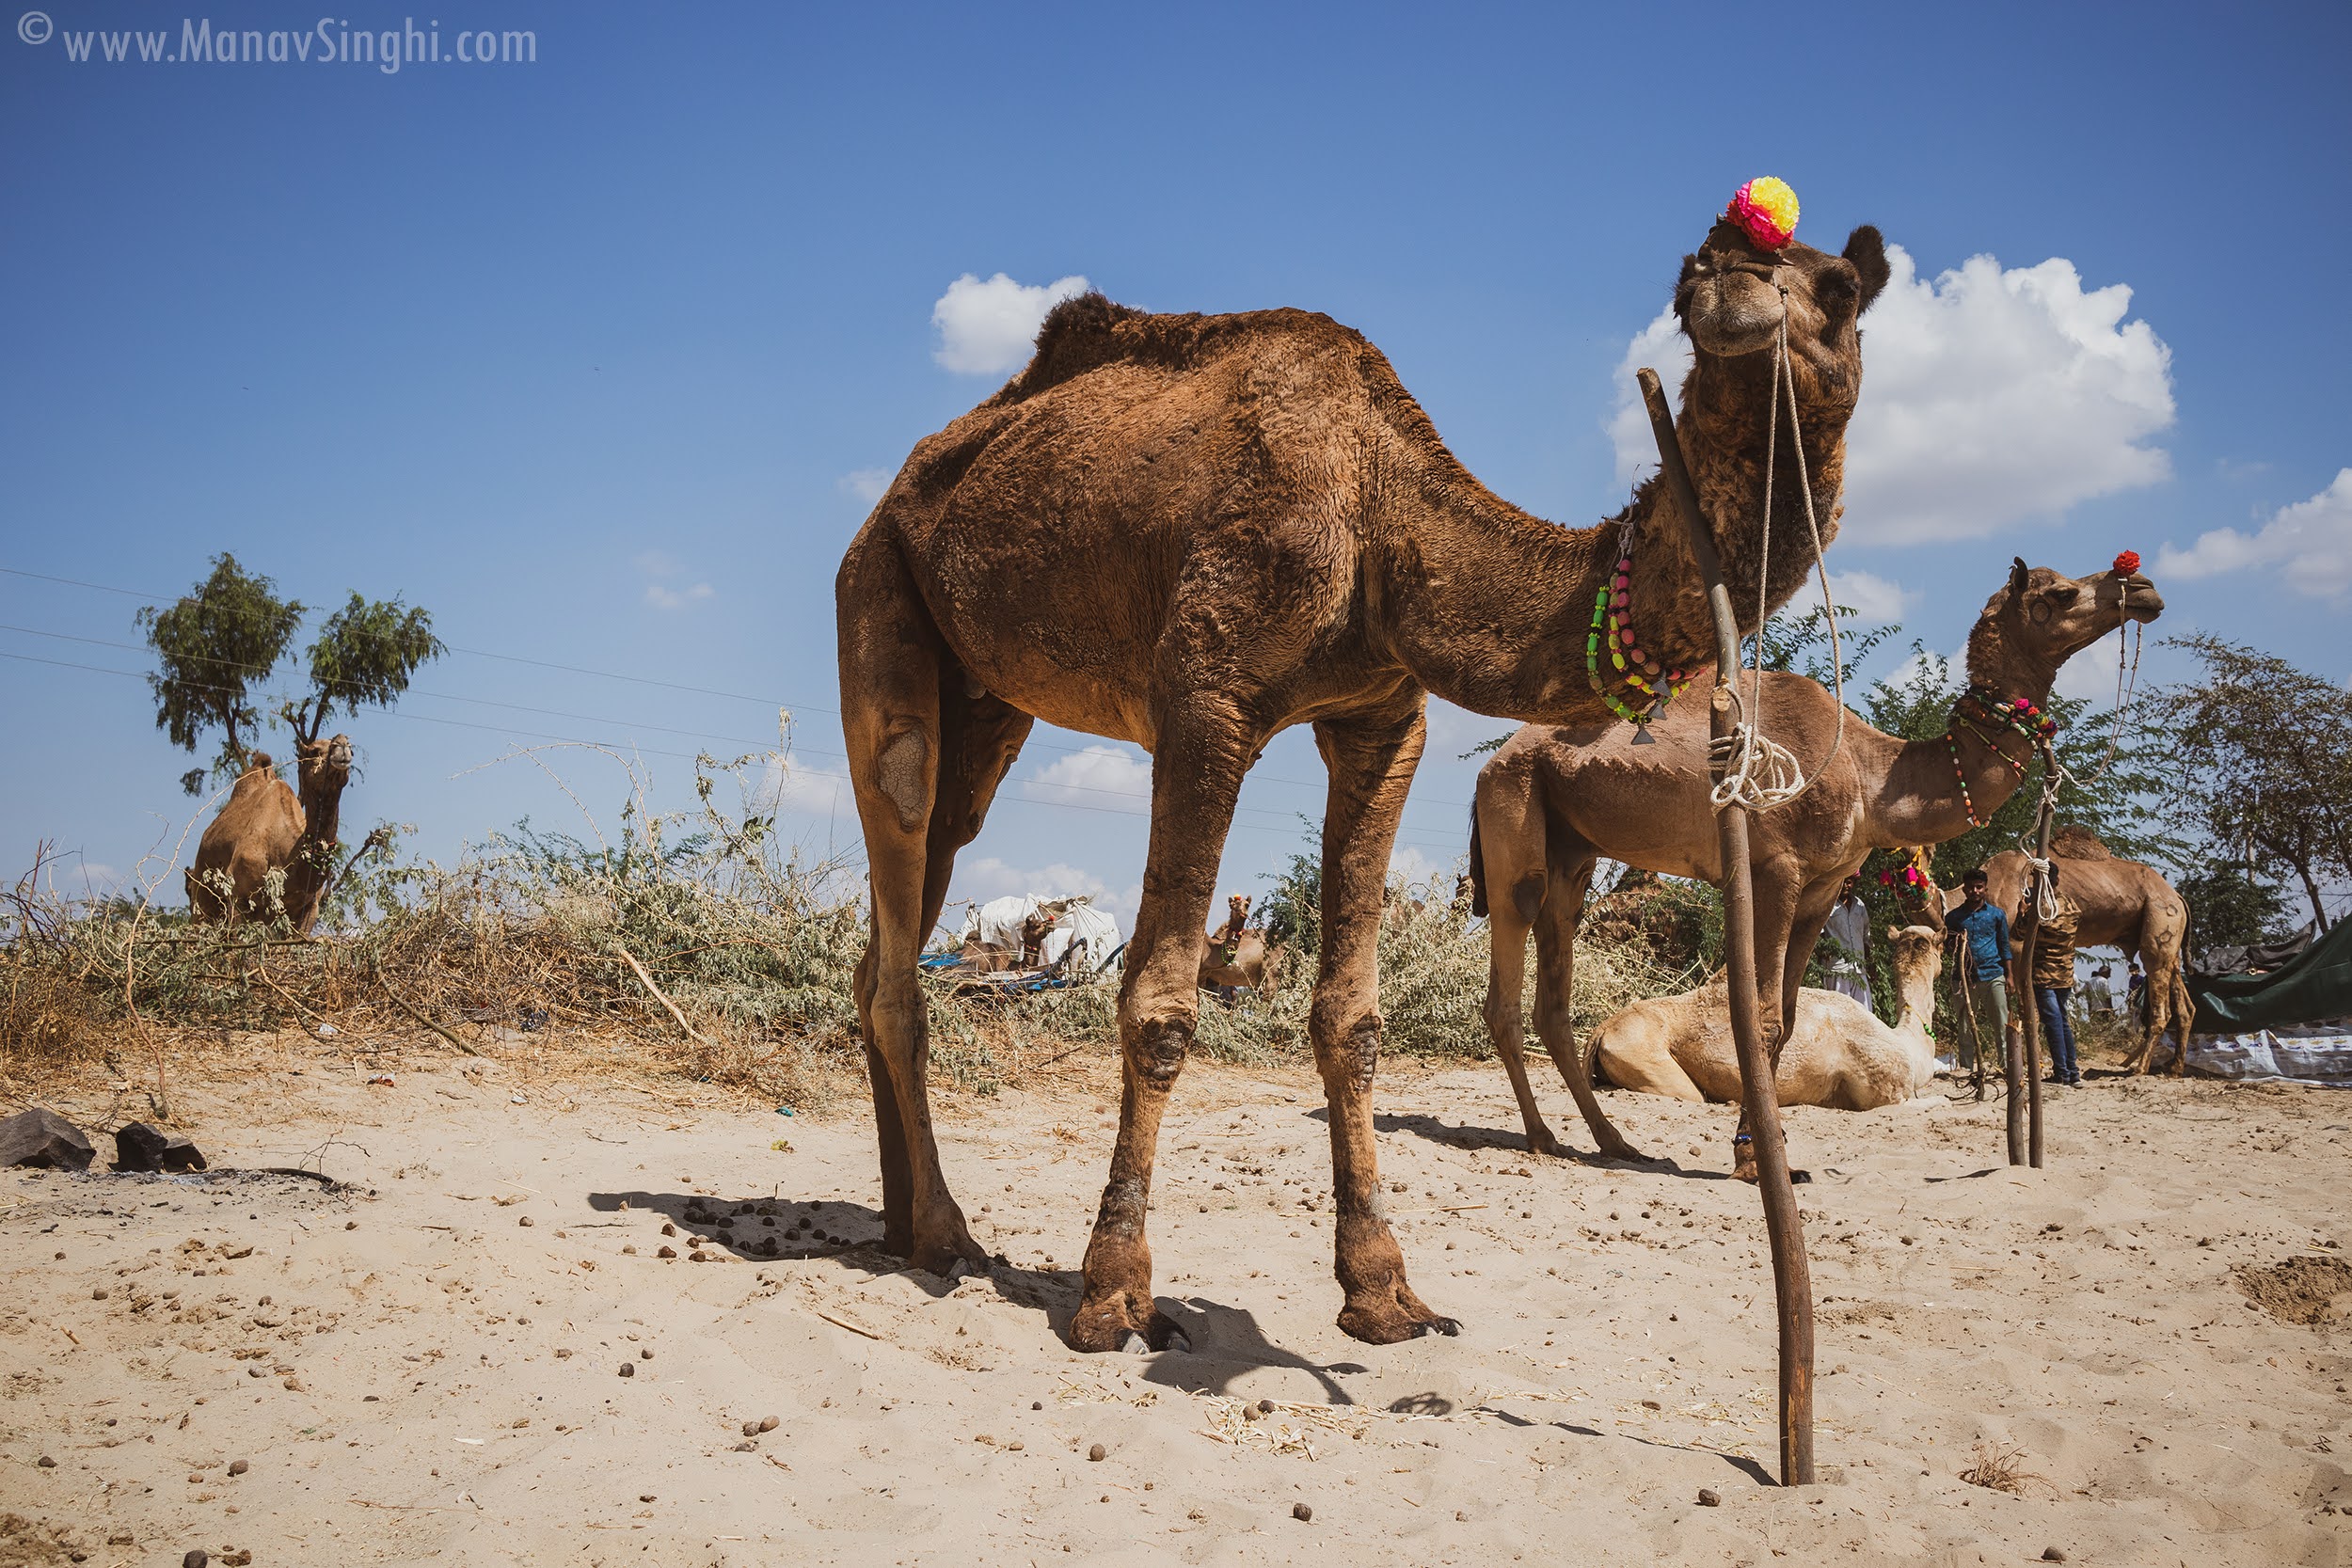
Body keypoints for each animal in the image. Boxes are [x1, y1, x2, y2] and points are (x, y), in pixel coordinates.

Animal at [188, 733, 355, 940]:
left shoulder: (310, 906)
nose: (342, 744)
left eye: (351, 747)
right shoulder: (237, 895)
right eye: (314, 751)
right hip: (201, 893)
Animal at [842, 199, 1891, 1354]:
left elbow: (1351, 1016)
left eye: (1843, 288)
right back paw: (944, 1232)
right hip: (876, 593)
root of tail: (894, 492)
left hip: (987, 698)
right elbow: (1159, 1002)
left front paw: (1384, 1291)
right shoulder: (1203, 701)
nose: (1733, 290)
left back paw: (905, 1222)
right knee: (901, 874)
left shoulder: (1385, 722)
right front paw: (1113, 1294)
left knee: (913, 892)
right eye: (1690, 275)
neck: (1379, 506)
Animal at [1976, 822, 2192, 1081]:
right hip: (2171, 944)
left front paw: (2031, 1068)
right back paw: (2174, 1069)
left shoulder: (2018, 946)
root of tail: (2177, 897)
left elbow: (2029, 1010)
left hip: (2161, 920)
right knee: (2184, 1004)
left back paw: (2140, 1069)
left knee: (2159, 997)